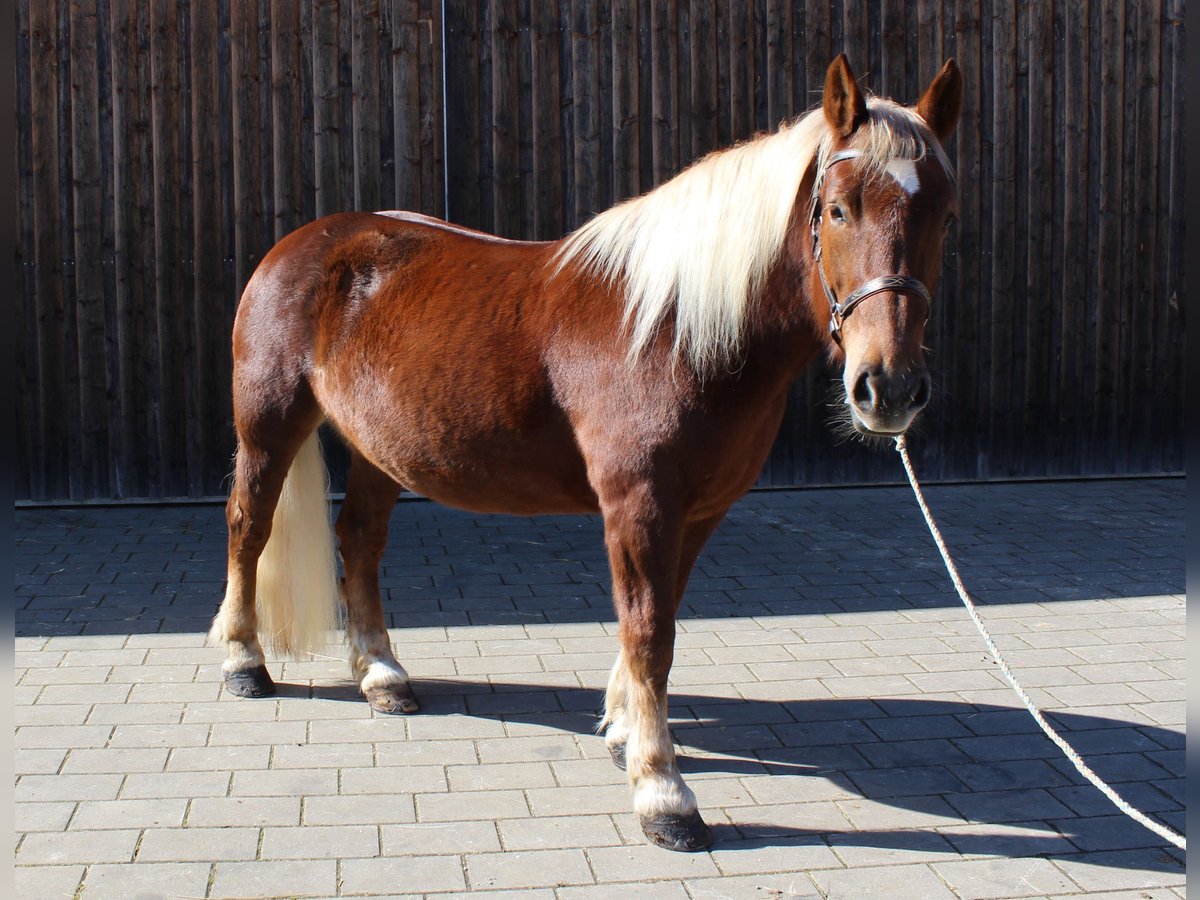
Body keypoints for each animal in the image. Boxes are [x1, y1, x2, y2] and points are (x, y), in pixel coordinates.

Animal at [211, 56, 964, 854]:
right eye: (839, 209)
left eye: (946, 216)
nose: (889, 387)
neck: (671, 329)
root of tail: (304, 242)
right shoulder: (640, 505)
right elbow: (650, 632)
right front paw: (664, 794)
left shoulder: (699, 511)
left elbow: (661, 619)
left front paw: (624, 731)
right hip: (268, 426)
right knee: (248, 527)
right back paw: (243, 661)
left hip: (379, 449)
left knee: (359, 540)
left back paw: (383, 675)